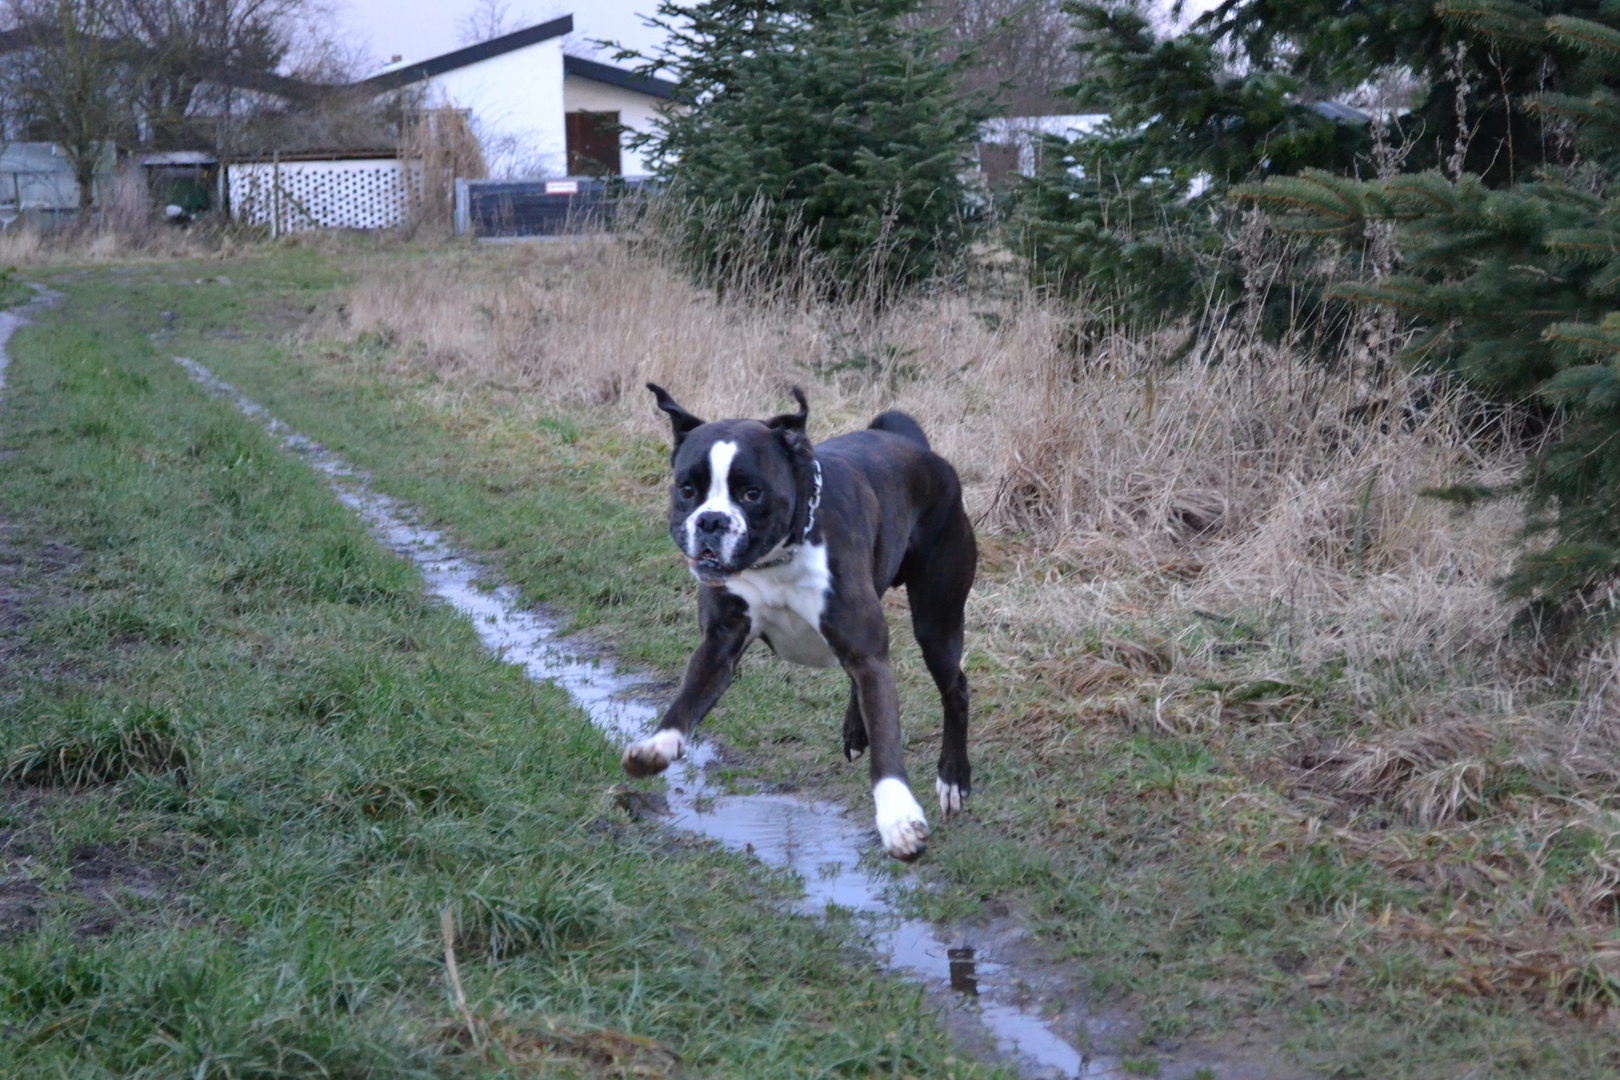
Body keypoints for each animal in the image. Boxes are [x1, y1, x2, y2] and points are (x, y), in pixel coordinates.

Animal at [618, 380, 972, 861]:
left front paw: (897, 816)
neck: (778, 557)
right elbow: (687, 700)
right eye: (687, 489)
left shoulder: (865, 649)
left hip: (937, 623)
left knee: (955, 690)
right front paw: (657, 746)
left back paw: (953, 777)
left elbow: (887, 738)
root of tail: (914, 445)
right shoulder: (720, 644)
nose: (711, 520)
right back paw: (856, 730)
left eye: (752, 493)